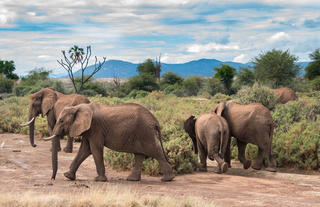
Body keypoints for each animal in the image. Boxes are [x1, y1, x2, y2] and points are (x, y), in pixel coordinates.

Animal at [43, 102, 175, 182]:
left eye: (61, 121)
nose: (52, 179)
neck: (78, 107)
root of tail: (155, 121)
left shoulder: (95, 128)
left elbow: (95, 149)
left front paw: (99, 180)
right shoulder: (88, 130)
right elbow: (85, 150)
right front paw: (68, 176)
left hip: (145, 132)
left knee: (155, 151)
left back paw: (167, 179)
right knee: (139, 155)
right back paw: (132, 179)